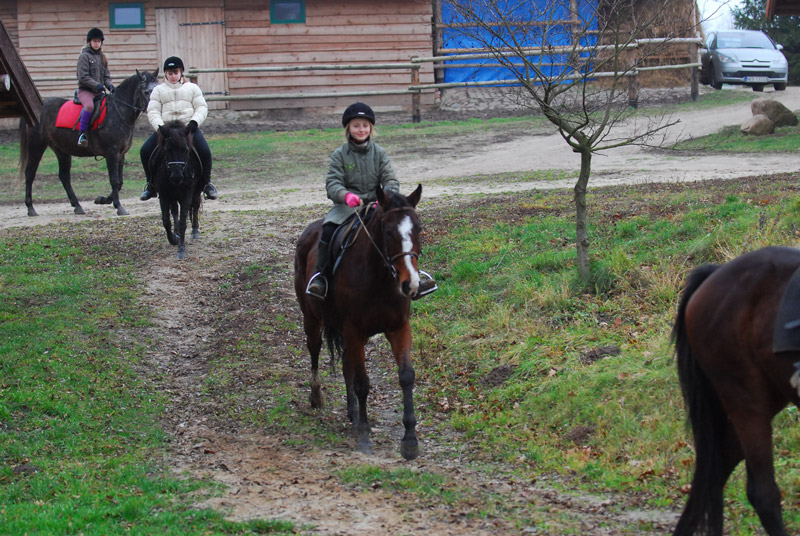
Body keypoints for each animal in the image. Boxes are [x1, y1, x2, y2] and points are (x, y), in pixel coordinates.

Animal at [19, 70, 159, 217]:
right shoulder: (112, 153)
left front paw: (103, 200)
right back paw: (30, 207)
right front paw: (118, 206)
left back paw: (77, 206)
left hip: (61, 150)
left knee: (64, 177)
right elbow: (114, 180)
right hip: (37, 146)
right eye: (146, 91)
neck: (117, 112)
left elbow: (119, 182)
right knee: (30, 173)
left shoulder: (121, 154)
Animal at [294, 185, 424, 460]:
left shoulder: (398, 328)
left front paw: (410, 440)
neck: (379, 278)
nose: (411, 284)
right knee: (314, 350)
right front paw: (364, 435)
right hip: (312, 318)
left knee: (346, 365)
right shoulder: (353, 330)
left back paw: (352, 413)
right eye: (388, 231)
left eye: (418, 228)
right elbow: (363, 382)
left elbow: (406, 376)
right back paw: (316, 395)